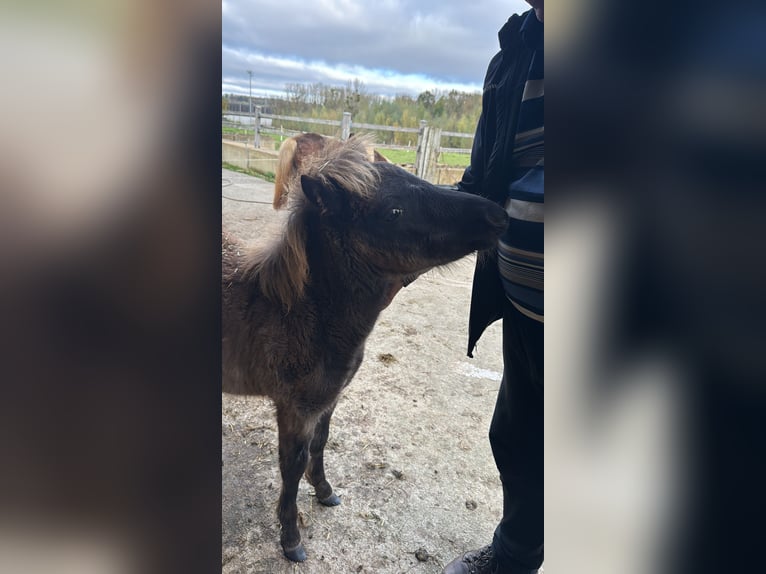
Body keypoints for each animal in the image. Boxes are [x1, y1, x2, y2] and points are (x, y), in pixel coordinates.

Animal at [222, 136, 510, 564]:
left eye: (419, 180)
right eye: (394, 211)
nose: (499, 215)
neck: (301, 312)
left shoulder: (328, 400)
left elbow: (320, 444)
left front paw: (325, 492)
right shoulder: (295, 409)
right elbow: (292, 466)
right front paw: (291, 538)